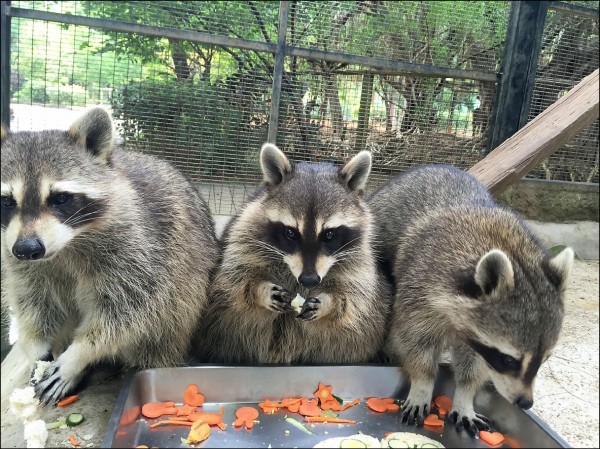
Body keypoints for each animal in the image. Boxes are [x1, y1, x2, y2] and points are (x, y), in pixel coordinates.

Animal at [0, 107, 220, 402]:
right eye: (6, 201)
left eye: (60, 198)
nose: (27, 250)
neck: (67, 244)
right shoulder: (16, 255)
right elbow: (36, 304)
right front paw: (34, 345)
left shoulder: (141, 248)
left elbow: (129, 310)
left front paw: (79, 354)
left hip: (187, 282)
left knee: (172, 311)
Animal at [195, 144, 394, 364]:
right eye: (290, 233)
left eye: (329, 234)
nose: (309, 280)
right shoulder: (245, 232)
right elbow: (235, 277)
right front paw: (259, 290)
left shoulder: (359, 255)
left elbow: (354, 296)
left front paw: (330, 303)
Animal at [368, 164, 576, 434]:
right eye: (508, 359)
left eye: (546, 358)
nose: (525, 402)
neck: (510, 251)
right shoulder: (419, 292)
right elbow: (416, 343)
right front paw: (422, 384)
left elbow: (474, 365)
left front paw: (465, 396)